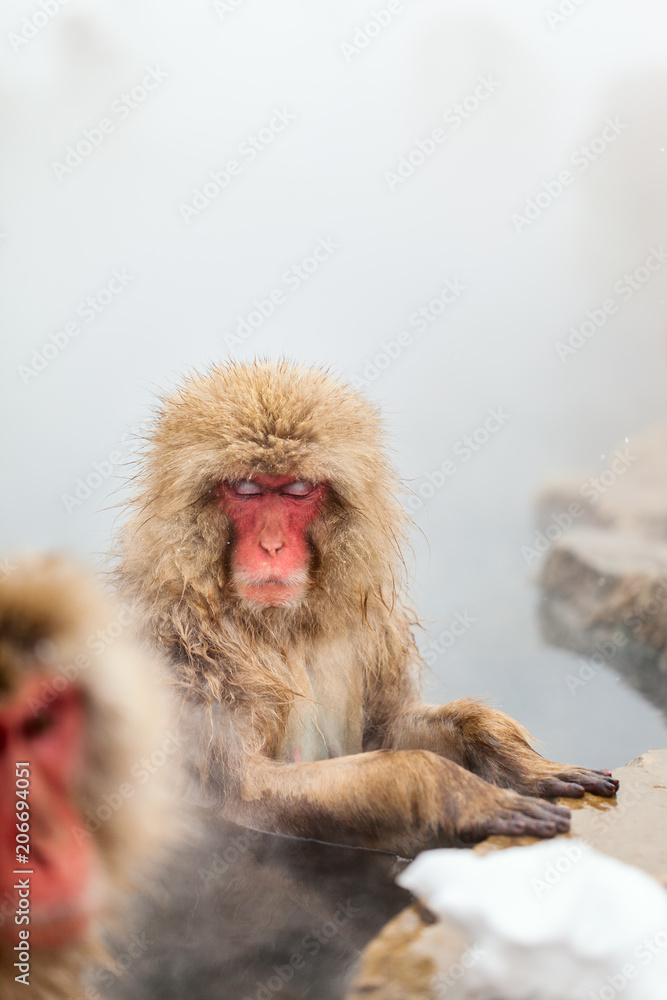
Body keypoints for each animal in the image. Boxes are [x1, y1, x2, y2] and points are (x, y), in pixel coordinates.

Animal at [116, 360, 618, 858]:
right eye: (246, 488)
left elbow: (385, 731)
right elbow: (245, 793)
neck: (284, 627)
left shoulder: (373, 629)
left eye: (297, 489)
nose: (272, 546)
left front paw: (510, 756)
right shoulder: (183, 656)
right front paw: (451, 791)